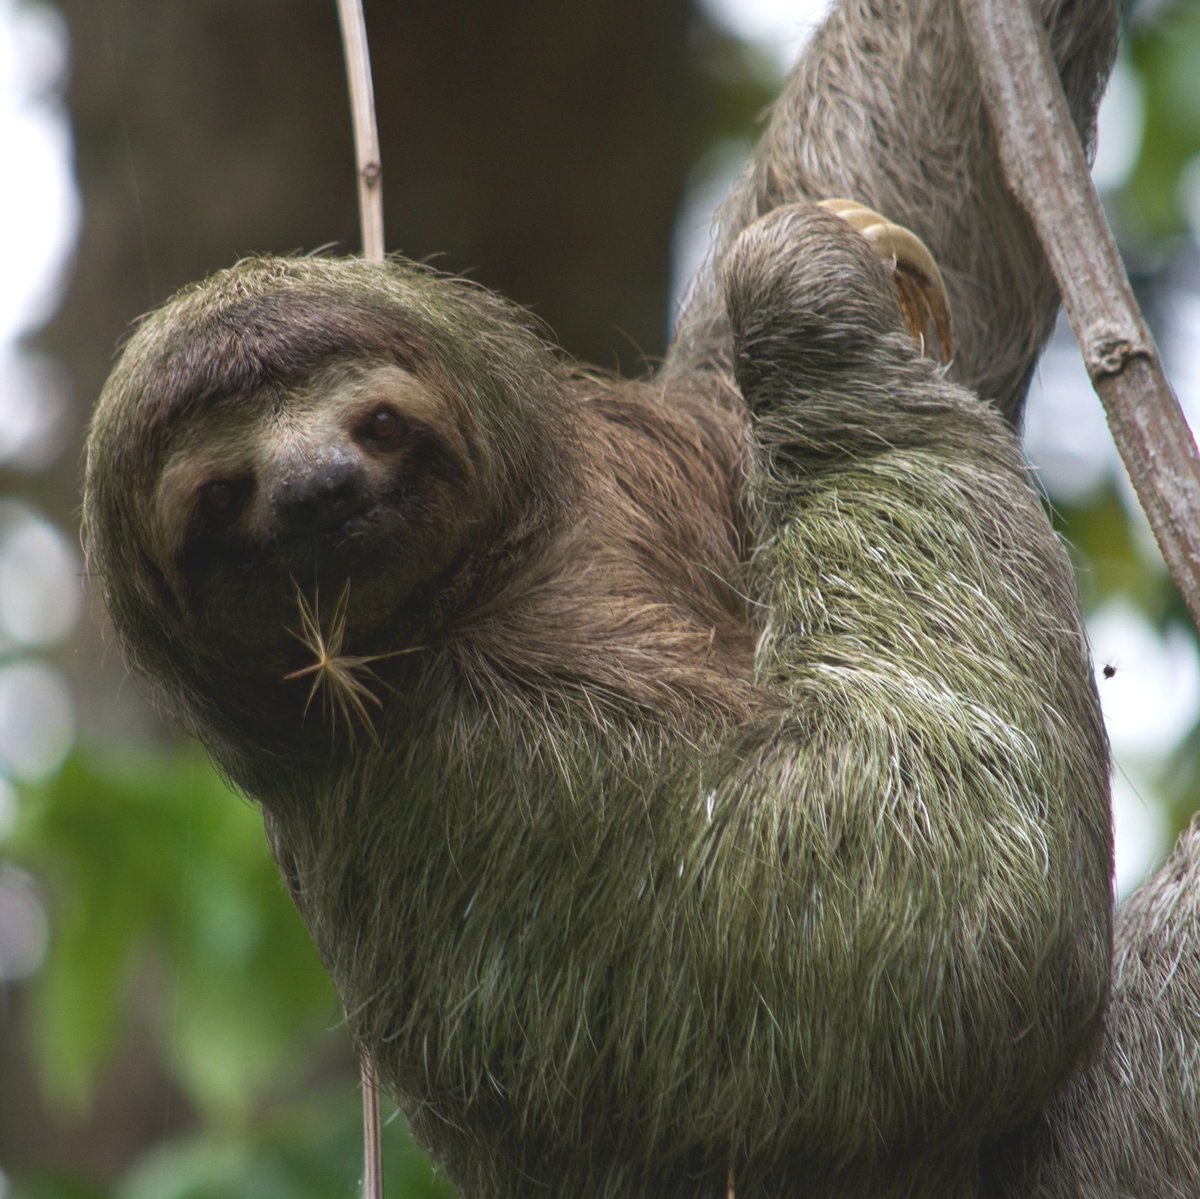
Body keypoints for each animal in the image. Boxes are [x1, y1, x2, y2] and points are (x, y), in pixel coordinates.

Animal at [81, 1, 1200, 1196]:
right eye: (221, 497)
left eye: (377, 423)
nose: (316, 489)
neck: (517, 572)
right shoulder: (515, 768)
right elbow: (943, 905)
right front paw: (805, 288)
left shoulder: (686, 450)